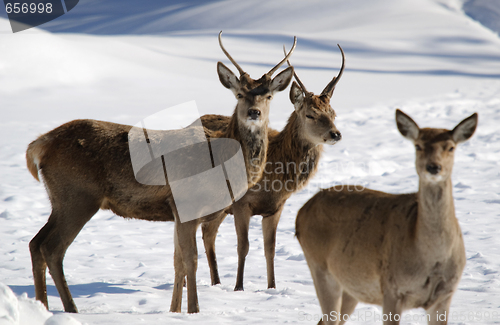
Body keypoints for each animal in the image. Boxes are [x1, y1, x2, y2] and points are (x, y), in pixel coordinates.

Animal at [25, 31, 294, 312]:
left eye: (269, 96)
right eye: (240, 94)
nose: (254, 112)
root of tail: (39, 144)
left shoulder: (177, 213)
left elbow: (177, 263)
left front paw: (174, 311)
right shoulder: (186, 203)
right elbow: (190, 260)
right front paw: (194, 310)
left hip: (61, 199)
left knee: (35, 243)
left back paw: (42, 305)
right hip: (77, 195)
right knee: (52, 248)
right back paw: (70, 308)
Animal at [197, 44, 346, 290]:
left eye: (333, 113)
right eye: (310, 114)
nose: (335, 134)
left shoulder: (276, 207)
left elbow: (270, 248)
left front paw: (272, 287)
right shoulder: (241, 203)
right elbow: (243, 246)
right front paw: (239, 287)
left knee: (208, 232)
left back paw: (216, 282)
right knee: (206, 232)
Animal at [294, 110, 478, 322]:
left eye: (450, 147)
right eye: (418, 145)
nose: (433, 167)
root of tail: (300, 213)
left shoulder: (445, 294)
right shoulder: (391, 288)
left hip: (352, 285)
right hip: (320, 267)